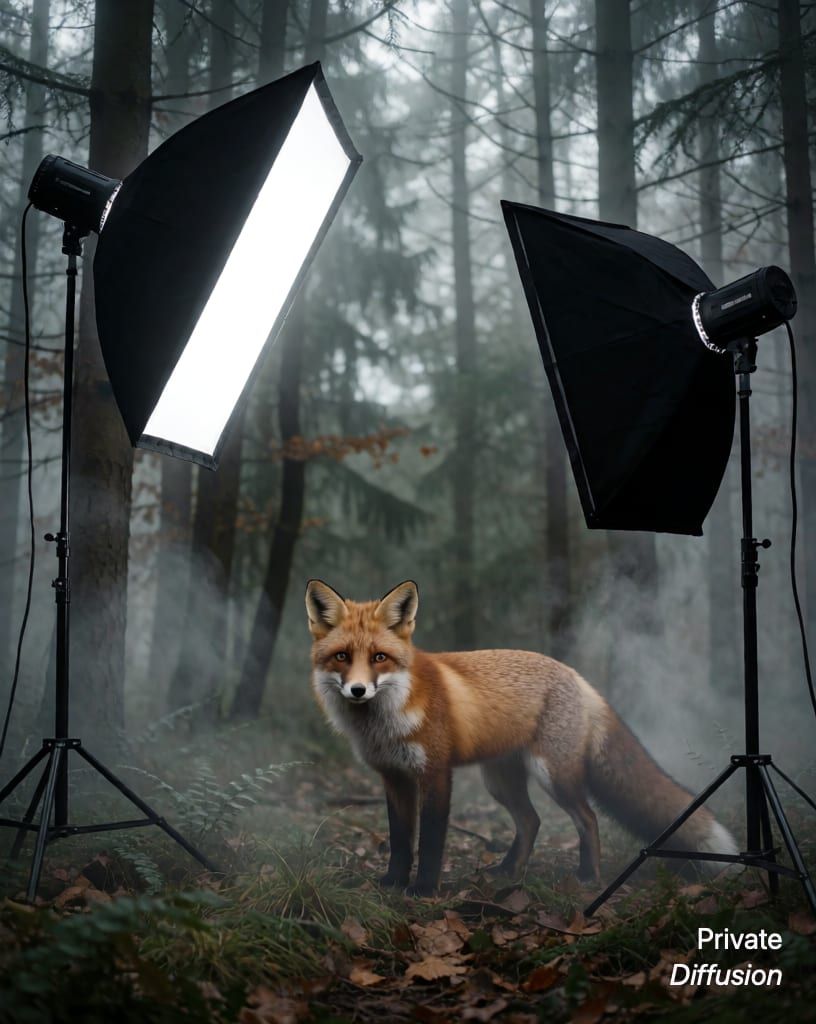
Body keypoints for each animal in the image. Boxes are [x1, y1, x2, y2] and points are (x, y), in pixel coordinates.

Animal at [306, 578, 738, 897]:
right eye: (342, 657)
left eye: (379, 657)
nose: (358, 690)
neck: (385, 721)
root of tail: (577, 677)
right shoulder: (393, 777)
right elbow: (399, 840)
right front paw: (393, 883)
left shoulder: (436, 774)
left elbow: (429, 842)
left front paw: (424, 890)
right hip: (499, 781)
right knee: (531, 821)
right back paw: (508, 871)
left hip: (553, 775)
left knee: (588, 818)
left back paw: (587, 877)